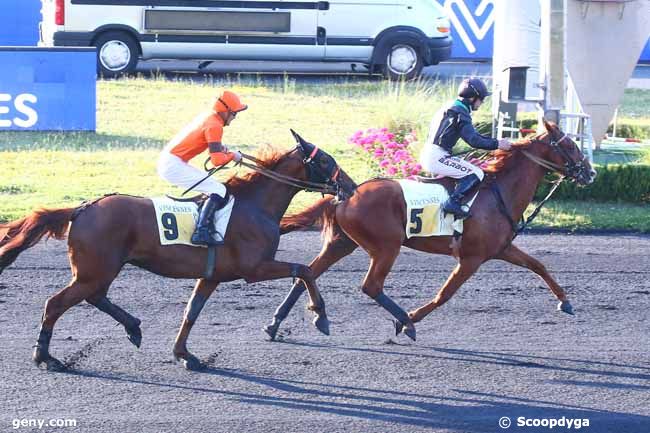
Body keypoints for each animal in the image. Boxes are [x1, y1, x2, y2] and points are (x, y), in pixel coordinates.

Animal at [0, 130, 354, 370]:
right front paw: (320, 316)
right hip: (94, 270)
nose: (349, 187)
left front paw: (184, 354)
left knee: (94, 297)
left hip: (98, 270)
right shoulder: (254, 268)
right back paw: (45, 356)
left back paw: (133, 327)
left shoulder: (212, 276)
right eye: (325, 160)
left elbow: (192, 311)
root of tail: (82, 208)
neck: (255, 206)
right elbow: (305, 270)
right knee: (56, 303)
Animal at [262, 120, 592, 340]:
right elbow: (444, 294)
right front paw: (408, 319)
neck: (498, 191)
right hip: (387, 246)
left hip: (342, 243)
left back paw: (279, 323)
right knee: (370, 286)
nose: (590, 172)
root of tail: (347, 192)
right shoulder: (471, 258)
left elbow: (538, 265)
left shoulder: (501, 248)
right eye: (571, 146)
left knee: (305, 274)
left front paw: (565, 301)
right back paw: (404, 321)